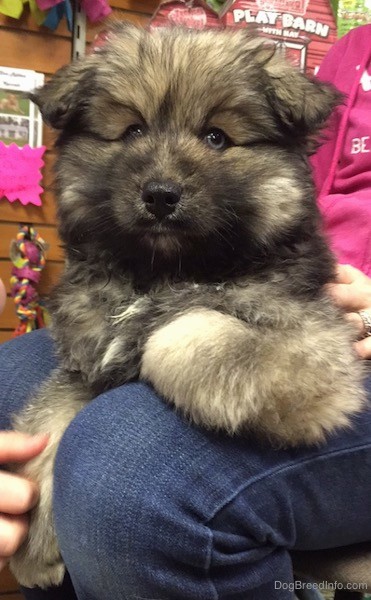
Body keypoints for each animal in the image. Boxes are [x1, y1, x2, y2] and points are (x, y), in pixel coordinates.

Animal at [8, 23, 366, 584]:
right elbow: (48, 422)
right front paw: (31, 543)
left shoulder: (316, 349)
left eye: (216, 137)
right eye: (133, 131)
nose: (160, 194)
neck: (163, 274)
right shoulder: (87, 365)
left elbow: (181, 334)